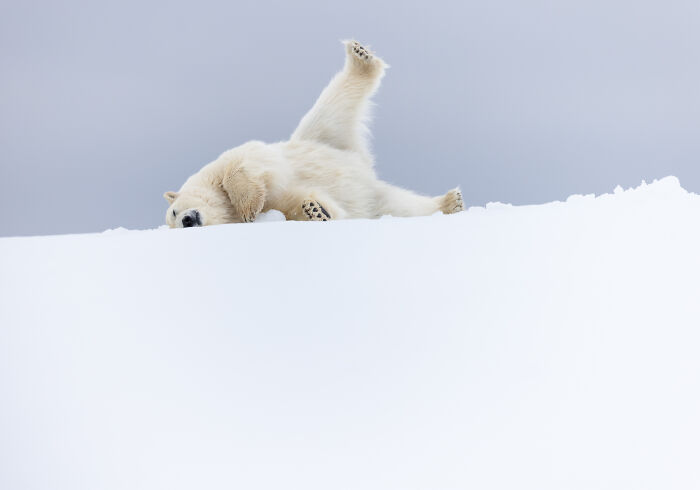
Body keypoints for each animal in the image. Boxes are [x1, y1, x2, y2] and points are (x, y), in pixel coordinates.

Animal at [163, 40, 464, 228]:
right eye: (173, 222)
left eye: (175, 212)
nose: (187, 221)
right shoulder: (280, 209)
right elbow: (298, 205)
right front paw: (316, 210)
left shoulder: (227, 163)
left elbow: (245, 164)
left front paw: (248, 206)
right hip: (374, 199)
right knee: (400, 207)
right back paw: (450, 203)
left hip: (320, 135)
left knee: (333, 104)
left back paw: (360, 58)